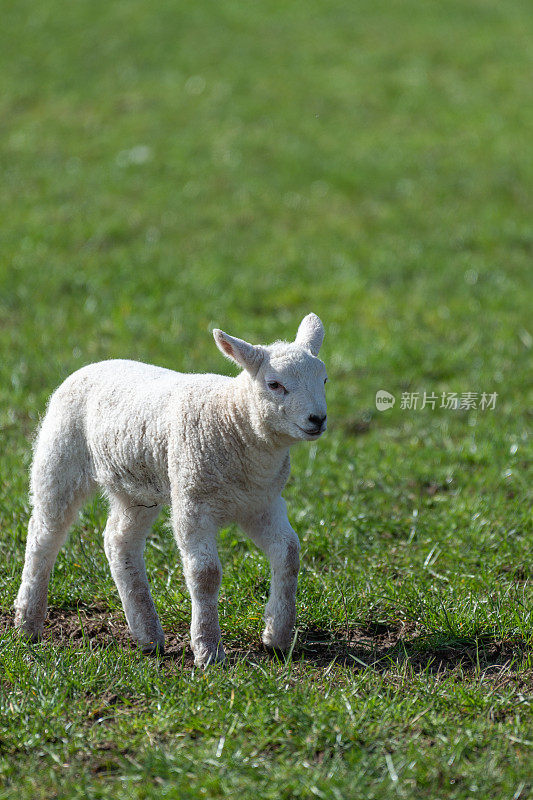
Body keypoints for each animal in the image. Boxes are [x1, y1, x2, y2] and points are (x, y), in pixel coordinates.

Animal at [14, 316, 326, 664]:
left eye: (324, 379)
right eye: (274, 385)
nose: (317, 419)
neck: (235, 422)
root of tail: (92, 365)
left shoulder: (262, 503)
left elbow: (289, 554)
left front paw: (278, 637)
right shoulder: (193, 502)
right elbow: (205, 573)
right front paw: (208, 650)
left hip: (136, 489)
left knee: (118, 540)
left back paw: (147, 634)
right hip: (59, 459)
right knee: (44, 535)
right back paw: (27, 624)